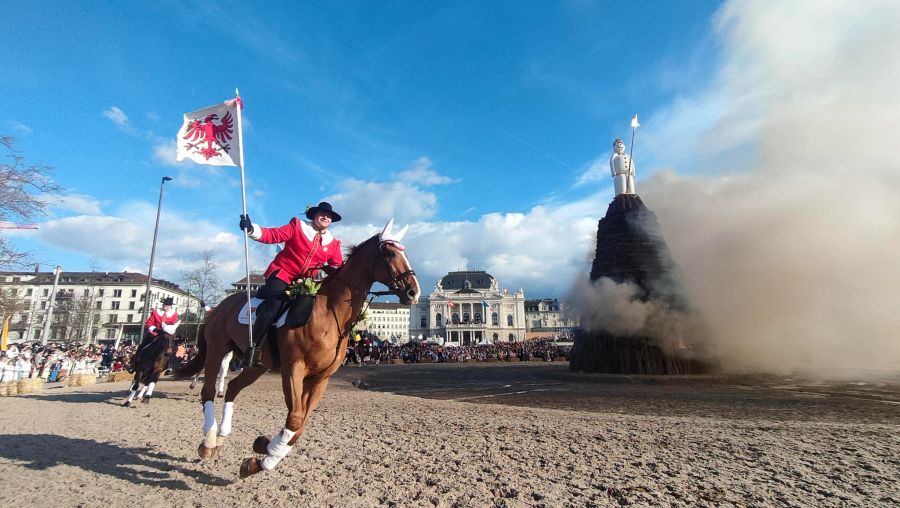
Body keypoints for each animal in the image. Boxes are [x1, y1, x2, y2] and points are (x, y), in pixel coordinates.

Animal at [176, 218, 422, 476]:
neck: (328, 312)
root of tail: (219, 306)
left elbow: (299, 426)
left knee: (233, 388)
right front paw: (264, 457)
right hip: (217, 350)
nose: (413, 292)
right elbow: (294, 419)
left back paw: (222, 437)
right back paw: (209, 441)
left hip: (257, 366)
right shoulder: (294, 369)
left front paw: (263, 451)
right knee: (208, 392)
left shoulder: (320, 378)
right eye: (390, 253)